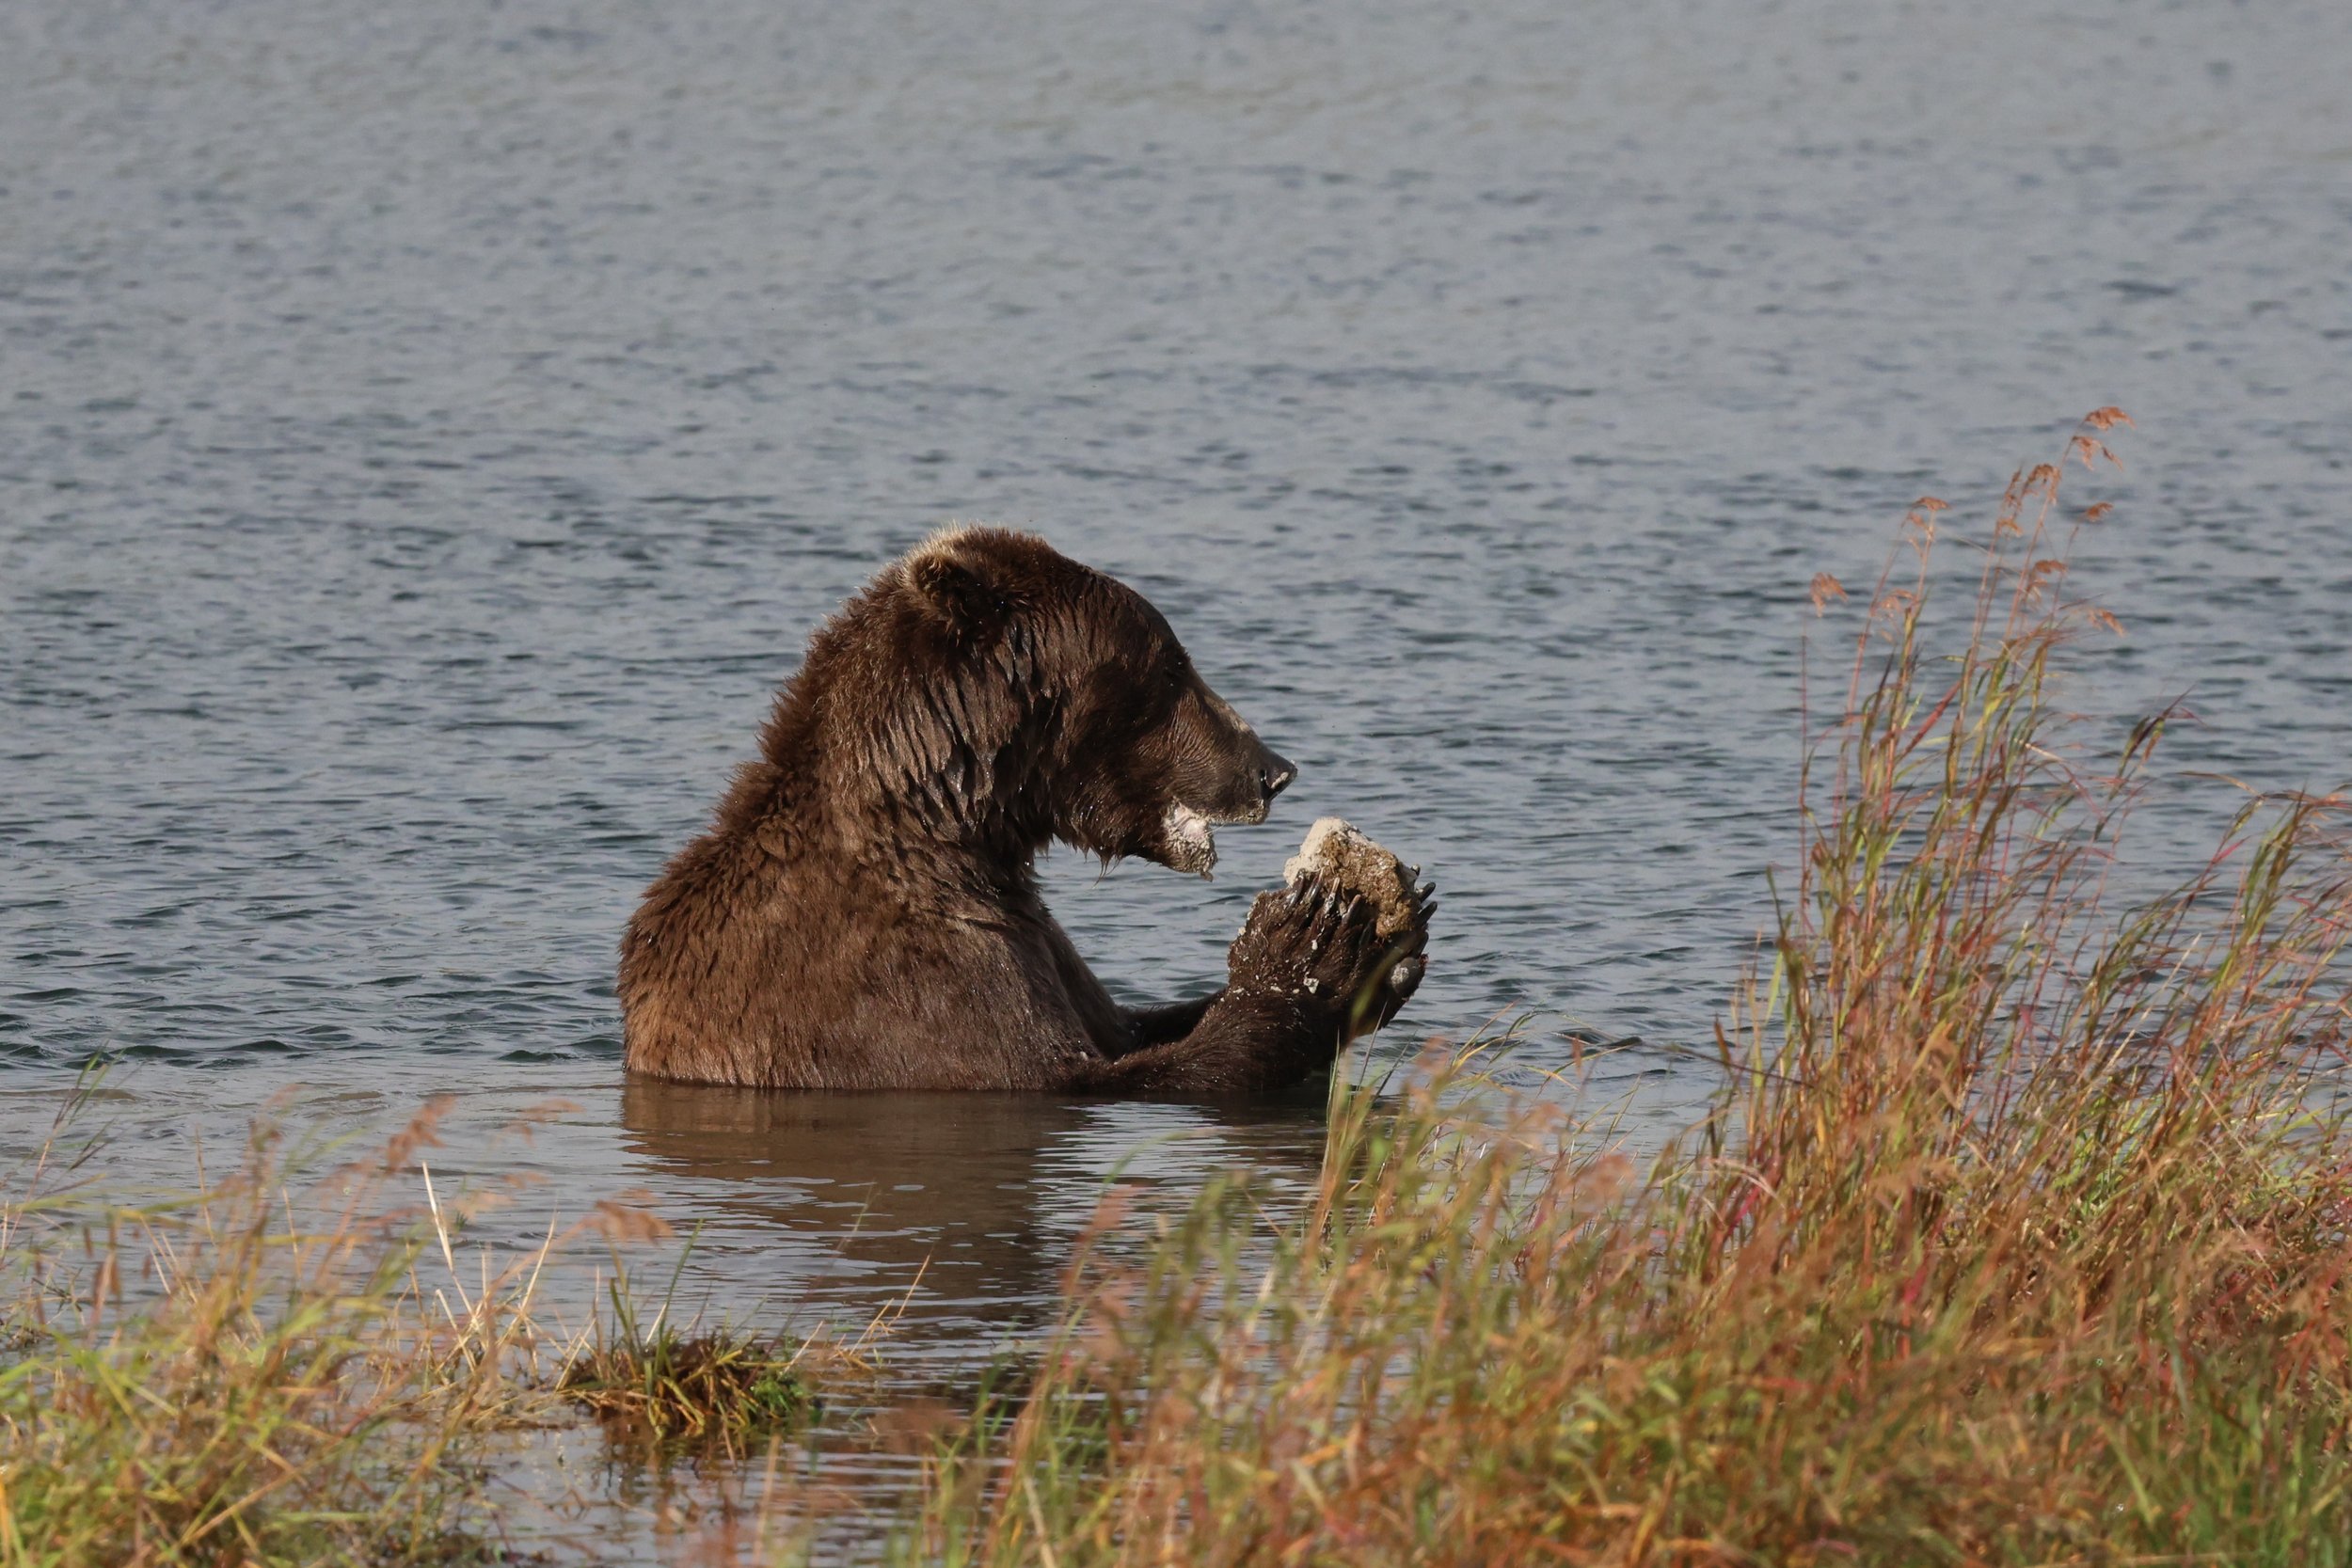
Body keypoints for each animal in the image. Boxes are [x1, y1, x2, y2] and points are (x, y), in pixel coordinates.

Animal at [618, 526, 1434, 1093]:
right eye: (1172, 666)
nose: (1272, 768)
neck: (950, 832)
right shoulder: (904, 990)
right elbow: (1098, 1075)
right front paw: (1315, 939)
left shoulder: (1036, 940)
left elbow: (1127, 1026)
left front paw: (1386, 949)